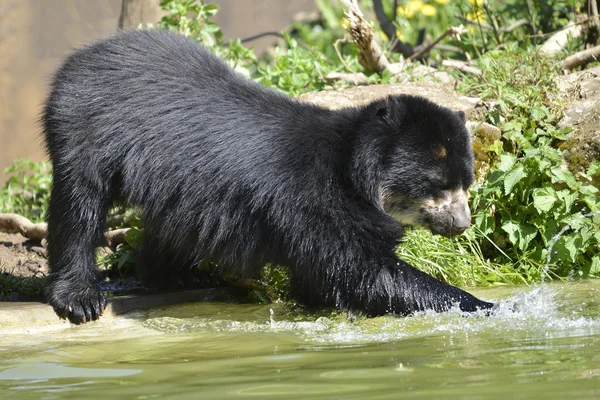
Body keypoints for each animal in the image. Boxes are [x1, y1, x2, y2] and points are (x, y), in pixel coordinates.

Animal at [41, 31, 492, 324]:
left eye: (466, 183)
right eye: (437, 185)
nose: (462, 223)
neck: (352, 169)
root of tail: (82, 56)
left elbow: (325, 281)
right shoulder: (314, 202)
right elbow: (361, 271)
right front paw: (487, 307)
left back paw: (175, 274)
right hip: (85, 126)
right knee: (79, 205)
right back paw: (80, 297)